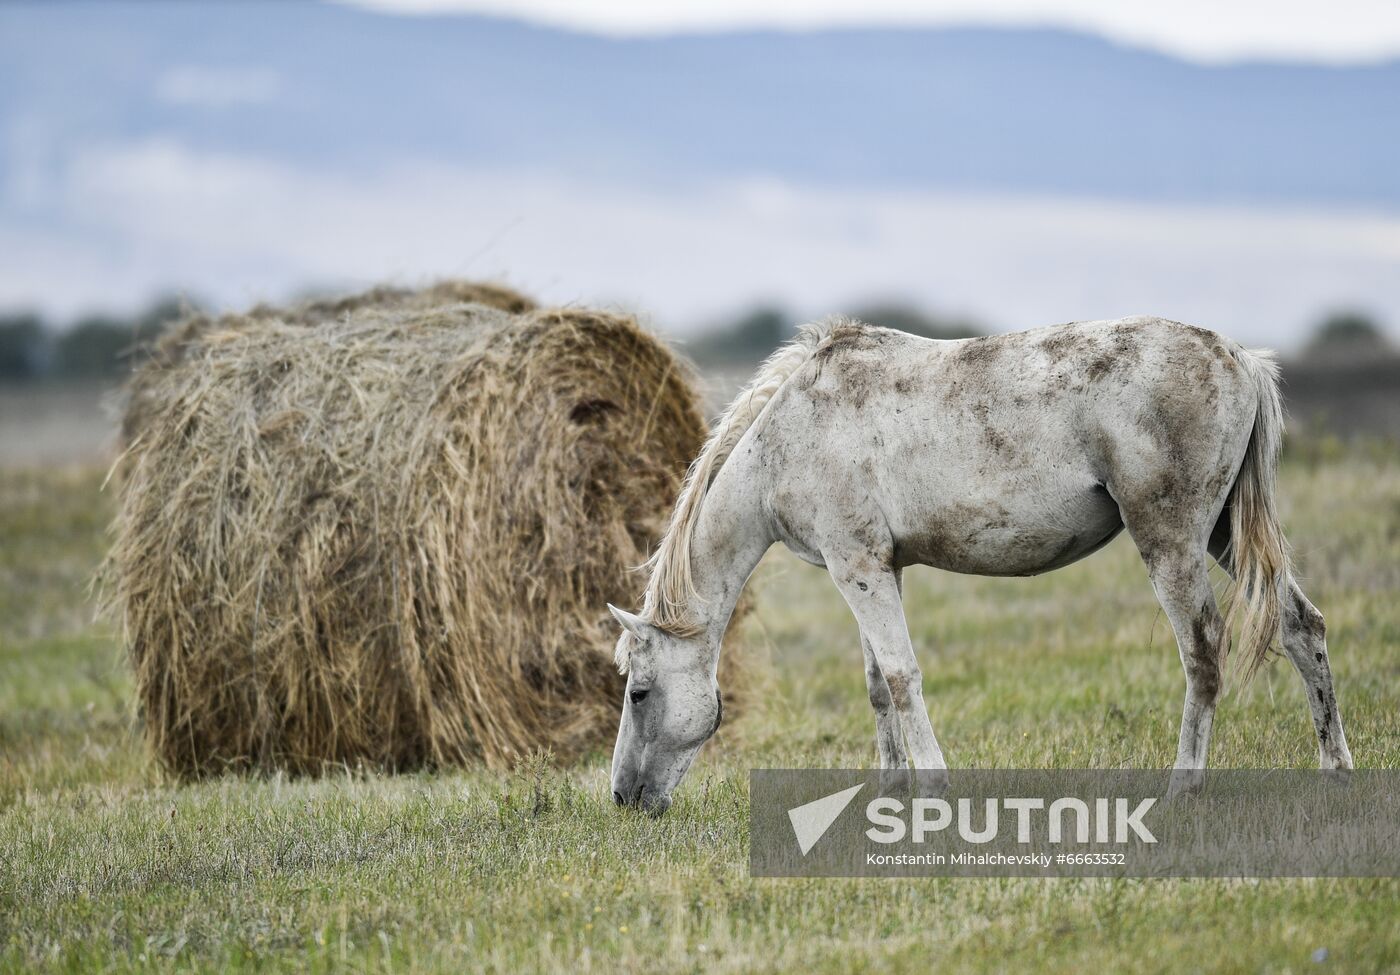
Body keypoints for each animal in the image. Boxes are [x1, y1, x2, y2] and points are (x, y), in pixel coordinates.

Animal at [607, 316, 1349, 812]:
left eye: (638, 692)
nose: (622, 796)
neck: (790, 436)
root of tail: (1242, 358)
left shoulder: (858, 566)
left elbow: (902, 678)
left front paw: (932, 787)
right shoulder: (878, 567)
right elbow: (878, 684)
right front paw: (890, 788)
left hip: (1171, 542)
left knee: (1202, 651)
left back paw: (1183, 786)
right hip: (1224, 536)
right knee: (1300, 627)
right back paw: (1335, 767)